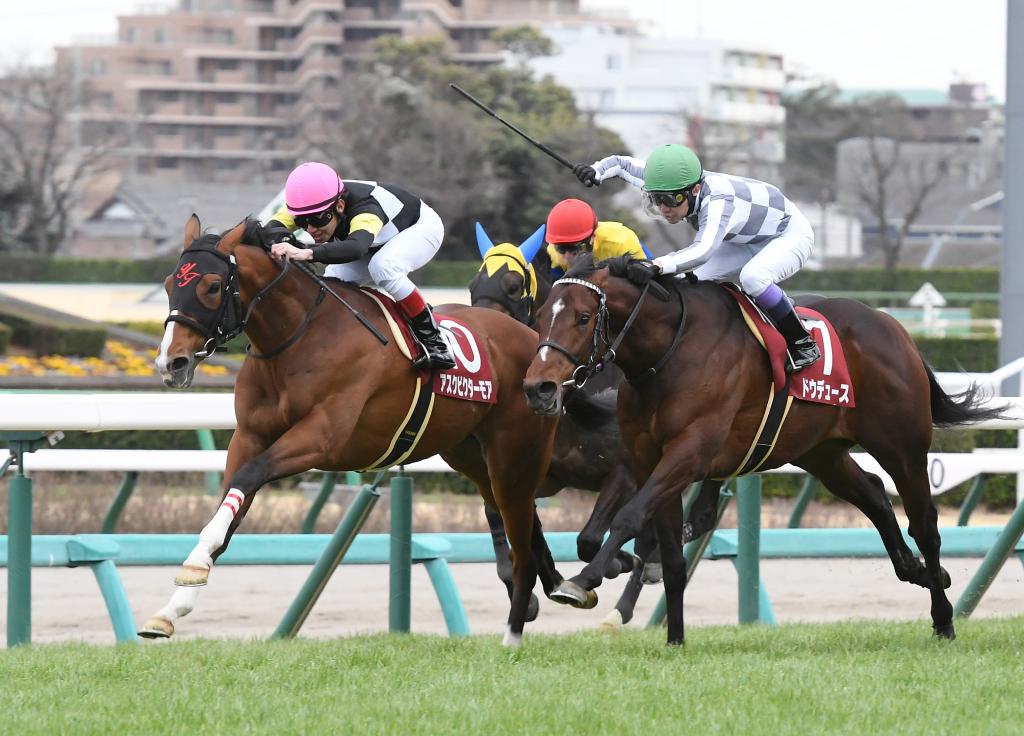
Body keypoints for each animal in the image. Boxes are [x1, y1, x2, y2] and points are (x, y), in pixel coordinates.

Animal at [141, 215, 570, 646]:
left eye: (212, 286)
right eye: (169, 283)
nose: (170, 363)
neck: (298, 336)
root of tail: (536, 340)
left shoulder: (322, 438)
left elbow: (249, 477)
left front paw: (193, 567)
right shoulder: (248, 437)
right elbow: (231, 504)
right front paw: (171, 608)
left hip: (515, 454)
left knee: (521, 545)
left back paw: (514, 633)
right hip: (472, 457)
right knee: (522, 522)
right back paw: (557, 587)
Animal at [523, 254, 1005, 645]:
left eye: (584, 317)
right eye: (543, 313)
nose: (538, 388)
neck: (668, 352)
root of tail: (894, 328)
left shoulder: (689, 453)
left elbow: (628, 517)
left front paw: (581, 581)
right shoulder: (647, 459)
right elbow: (668, 556)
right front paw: (675, 640)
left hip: (901, 446)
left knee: (925, 524)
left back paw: (944, 618)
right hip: (821, 452)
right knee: (873, 495)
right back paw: (918, 570)